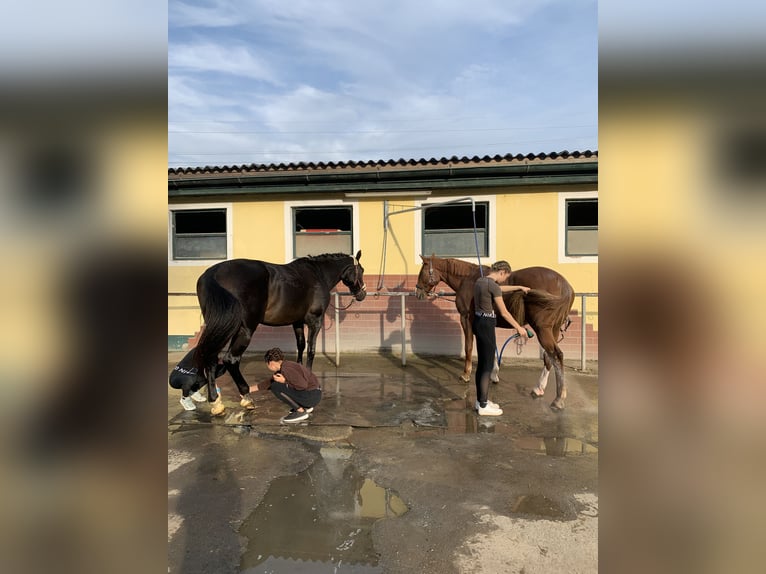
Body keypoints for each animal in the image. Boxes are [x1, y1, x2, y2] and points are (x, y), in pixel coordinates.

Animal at [196, 252, 368, 414]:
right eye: (361, 270)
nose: (362, 294)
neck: (318, 274)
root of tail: (214, 273)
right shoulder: (315, 322)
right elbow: (311, 350)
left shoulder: (297, 323)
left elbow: (301, 346)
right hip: (244, 329)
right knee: (231, 359)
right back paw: (246, 397)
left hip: (222, 328)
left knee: (211, 358)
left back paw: (216, 402)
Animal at [416, 254, 572, 412]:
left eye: (422, 271)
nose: (418, 293)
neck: (468, 279)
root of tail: (564, 285)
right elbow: (492, 346)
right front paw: (494, 374)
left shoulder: (466, 319)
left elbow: (468, 347)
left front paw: (466, 374)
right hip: (554, 329)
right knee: (549, 357)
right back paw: (539, 388)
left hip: (543, 329)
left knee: (556, 355)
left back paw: (558, 399)